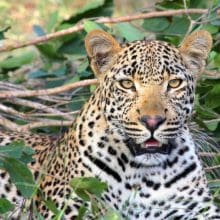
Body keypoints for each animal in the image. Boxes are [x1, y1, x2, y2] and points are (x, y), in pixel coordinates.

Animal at [0, 29, 220, 220]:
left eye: (174, 84)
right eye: (127, 84)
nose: (152, 121)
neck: (143, 176)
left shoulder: (198, 209)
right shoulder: (69, 206)